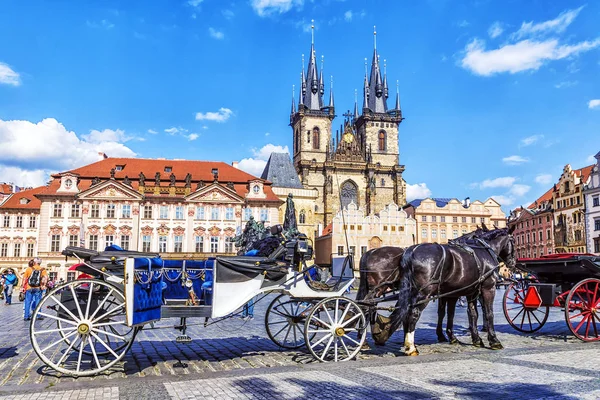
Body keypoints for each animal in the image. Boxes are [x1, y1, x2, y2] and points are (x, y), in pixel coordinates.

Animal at [372, 227, 512, 354]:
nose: (512, 263)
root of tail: (410, 251)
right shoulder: (487, 288)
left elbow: (467, 314)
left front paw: (474, 339)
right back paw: (410, 347)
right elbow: (488, 313)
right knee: (413, 313)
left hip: (410, 292)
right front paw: (494, 341)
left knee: (404, 311)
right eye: (513, 241)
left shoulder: (467, 292)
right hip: (424, 293)